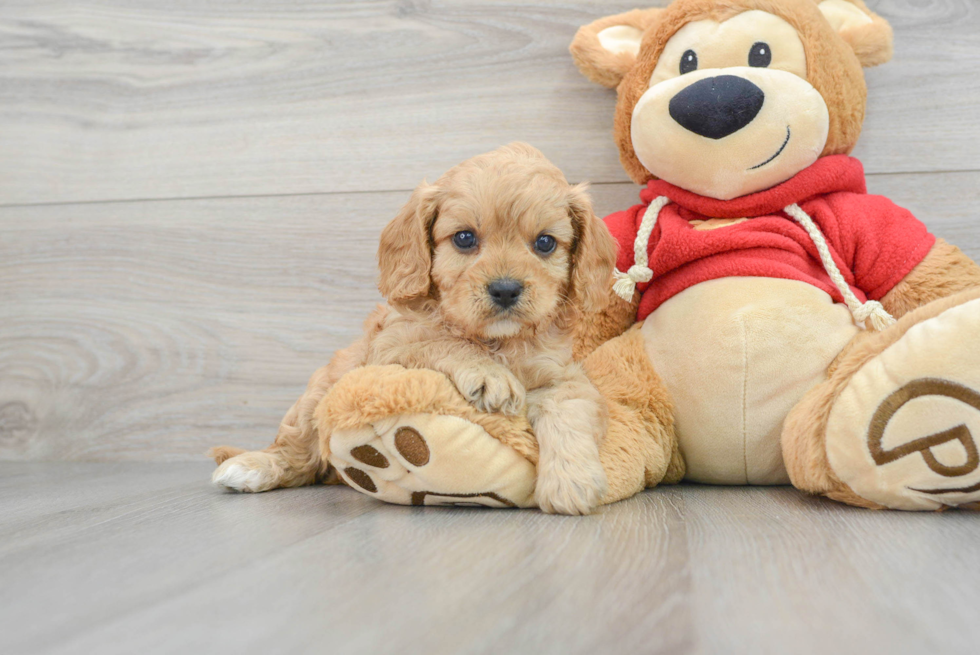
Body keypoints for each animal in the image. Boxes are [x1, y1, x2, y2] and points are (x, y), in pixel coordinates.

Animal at [211, 144, 616, 516]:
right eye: (464, 238)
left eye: (545, 242)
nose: (505, 289)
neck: (495, 340)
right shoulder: (392, 347)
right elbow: (443, 341)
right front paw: (490, 376)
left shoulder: (564, 376)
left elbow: (568, 411)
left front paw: (571, 482)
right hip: (318, 393)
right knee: (297, 453)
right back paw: (251, 467)